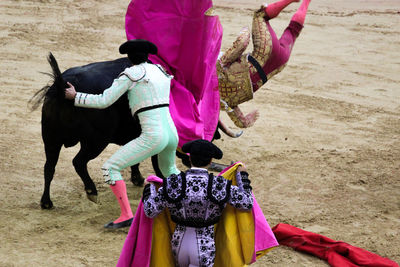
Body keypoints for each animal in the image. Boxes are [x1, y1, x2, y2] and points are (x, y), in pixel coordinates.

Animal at [31, 53, 233, 210]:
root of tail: (62, 84)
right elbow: (152, 160)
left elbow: (136, 157)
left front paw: (137, 177)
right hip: (95, 141)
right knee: (78, 162)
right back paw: (91, 191)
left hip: (50, 138)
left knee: (49, 167)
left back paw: (46, 202)